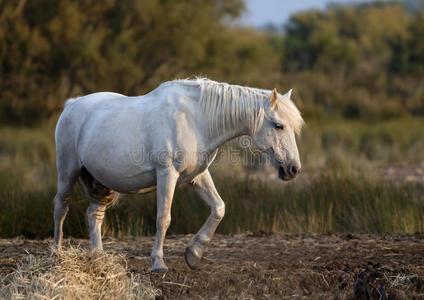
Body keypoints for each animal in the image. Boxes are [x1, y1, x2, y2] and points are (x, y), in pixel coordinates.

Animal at [54, 77, 304, 272]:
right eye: (279, 125)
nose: (294, 169)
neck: (195, 120)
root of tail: (71, 105)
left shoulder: (198, 176)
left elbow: (219, 208)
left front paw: (194, 254)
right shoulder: (167, 174)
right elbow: (163, 219)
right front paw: (158, 263)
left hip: (102, 184)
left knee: (94, 214)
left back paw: (98, 257)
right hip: (68, 171)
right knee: (61, 207)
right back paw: (56, 254)